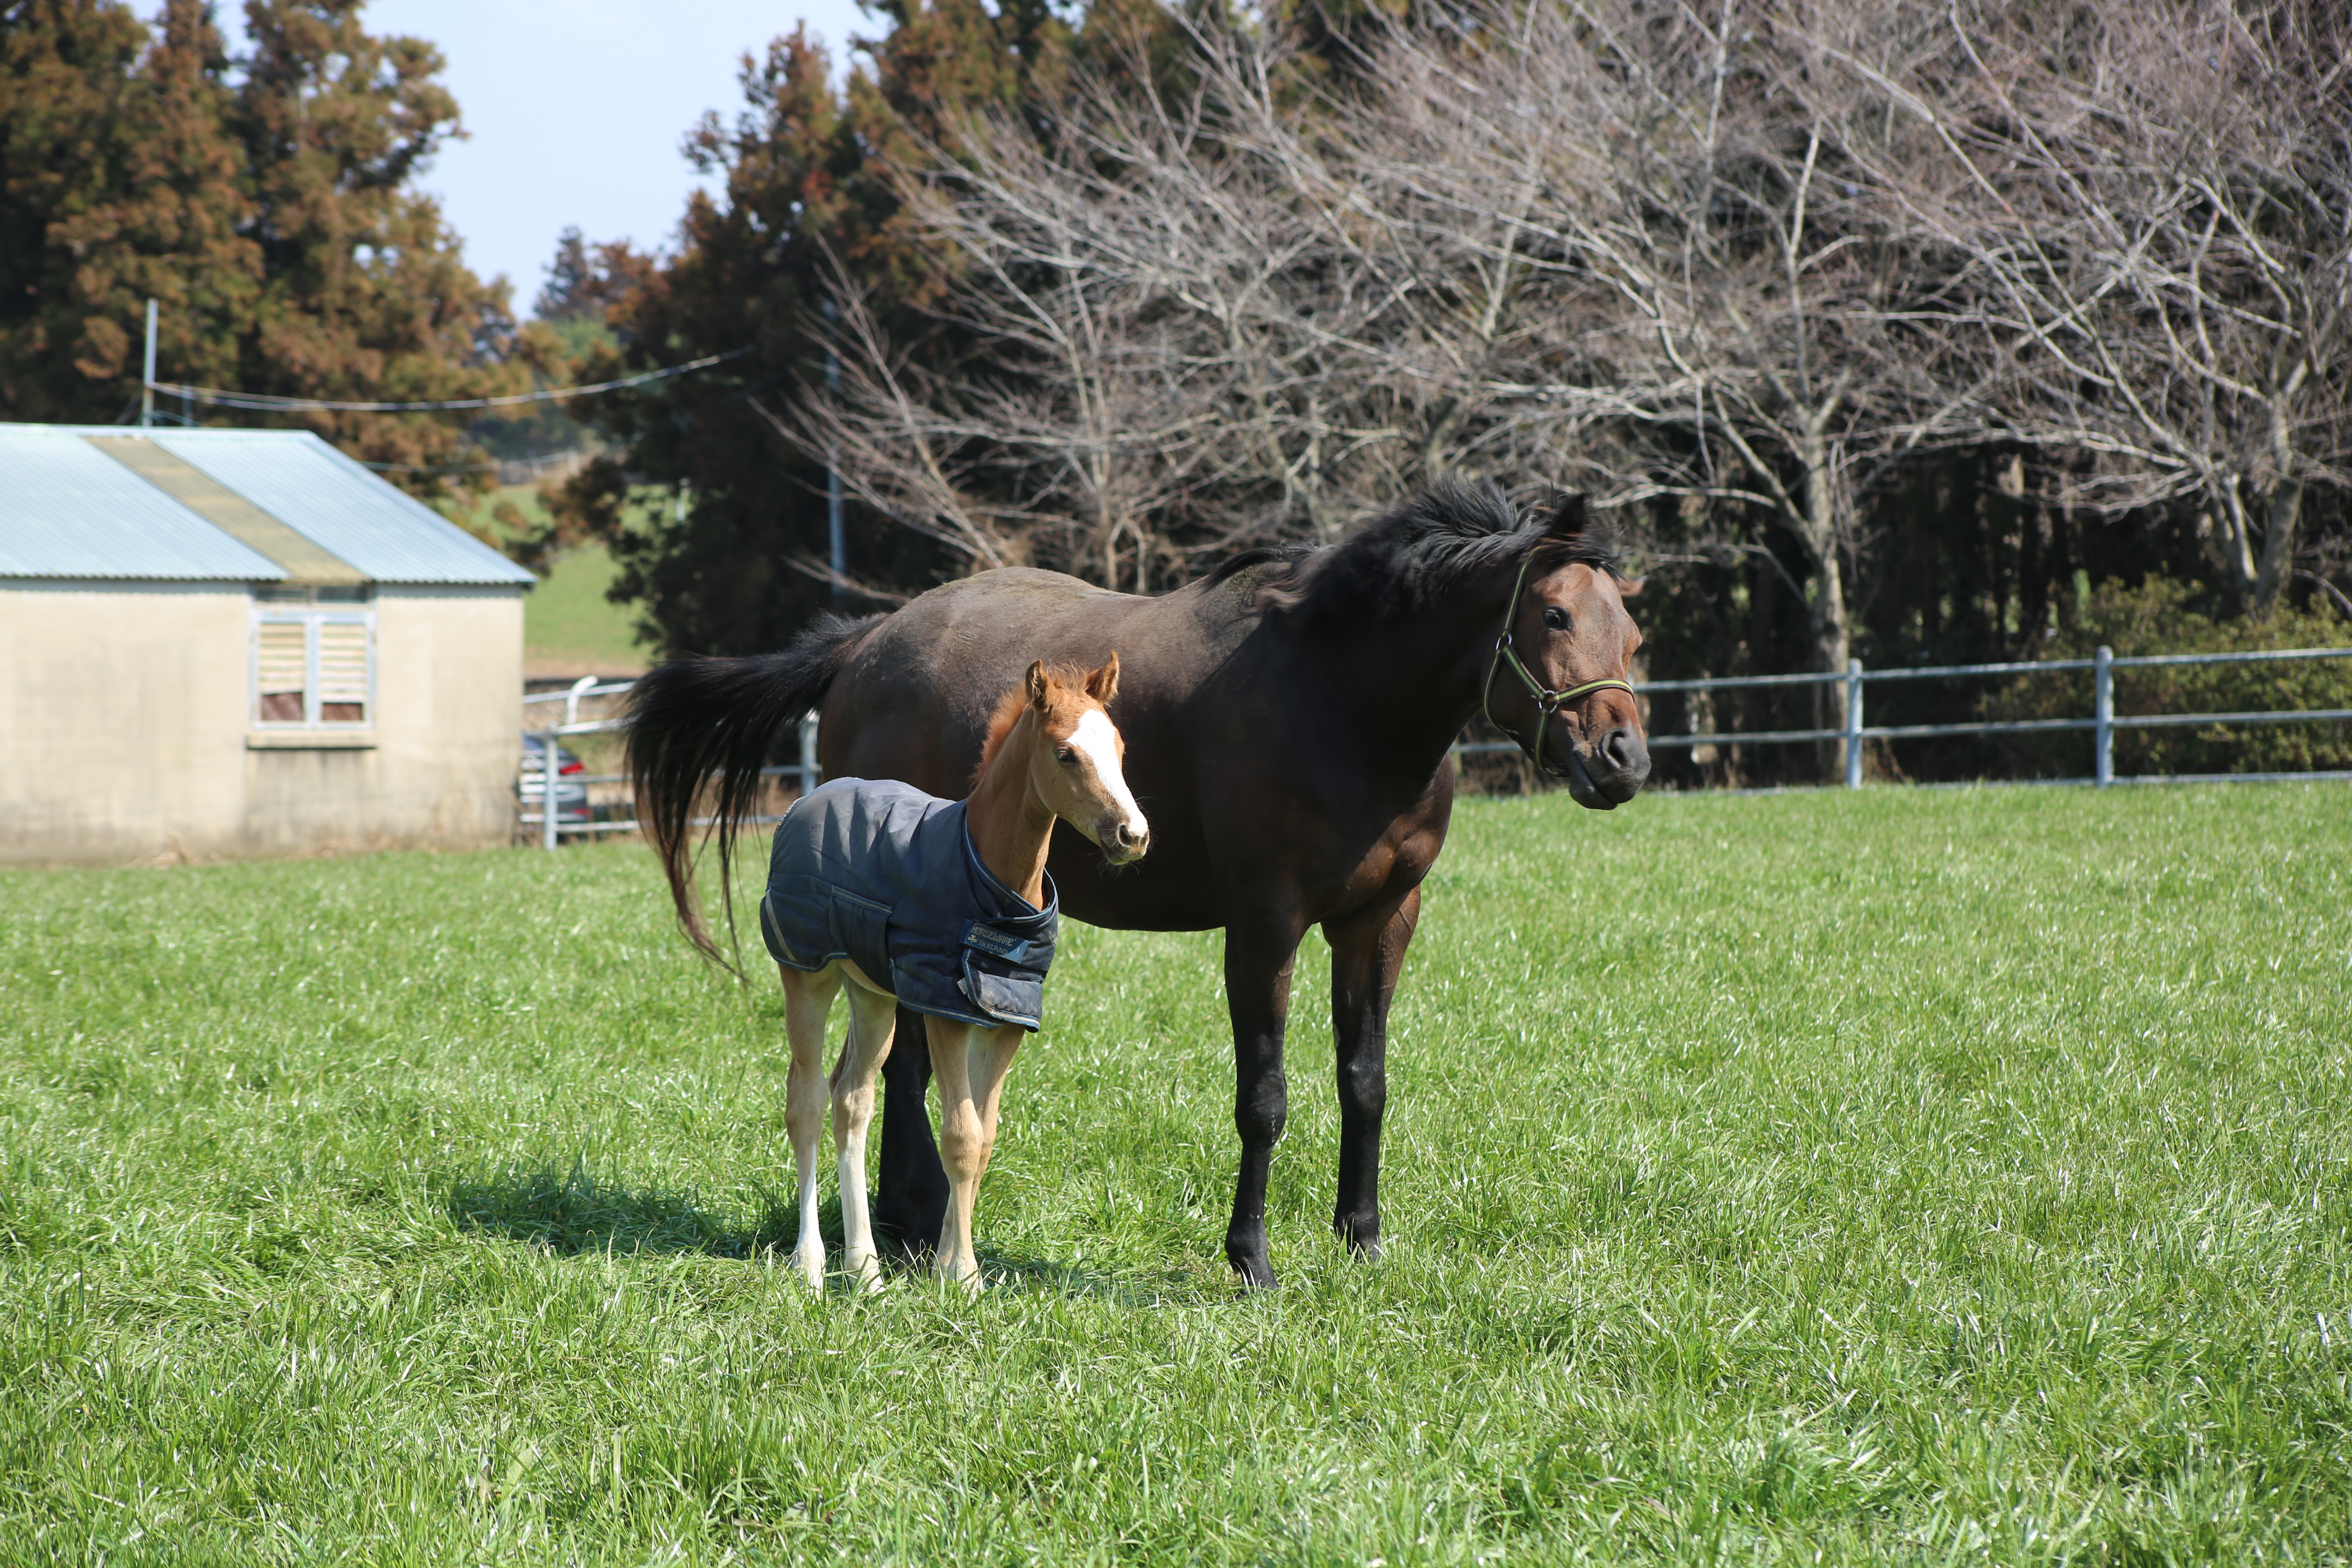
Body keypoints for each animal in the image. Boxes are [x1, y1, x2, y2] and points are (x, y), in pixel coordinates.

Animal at [762, 658, 1147, 1297]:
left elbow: (982, 1139)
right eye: (1066, 754)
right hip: (807, 975)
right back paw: (811, 1263)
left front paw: (948, 1264)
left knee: (853, 1101)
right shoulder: (945, 1010)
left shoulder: (1005, 1021)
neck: (992, 880)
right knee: (807, 1100)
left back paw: (865, 1268)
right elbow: (959, 1137)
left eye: (1119, 748)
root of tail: (807, 799)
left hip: (873, 996)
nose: (1133, 835)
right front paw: (963, 1276)